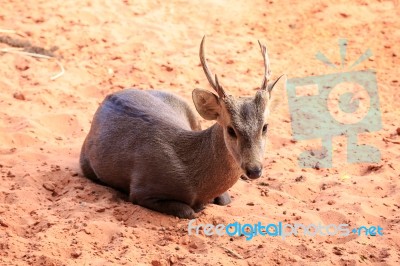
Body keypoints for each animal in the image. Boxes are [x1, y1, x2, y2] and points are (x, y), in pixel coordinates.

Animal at [79, 37, 284, 218]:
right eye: (231, 129)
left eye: (265, 127)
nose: (254, 170)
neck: (195, 184)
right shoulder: (141, 189)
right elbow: (188, 212)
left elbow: (225, 200)